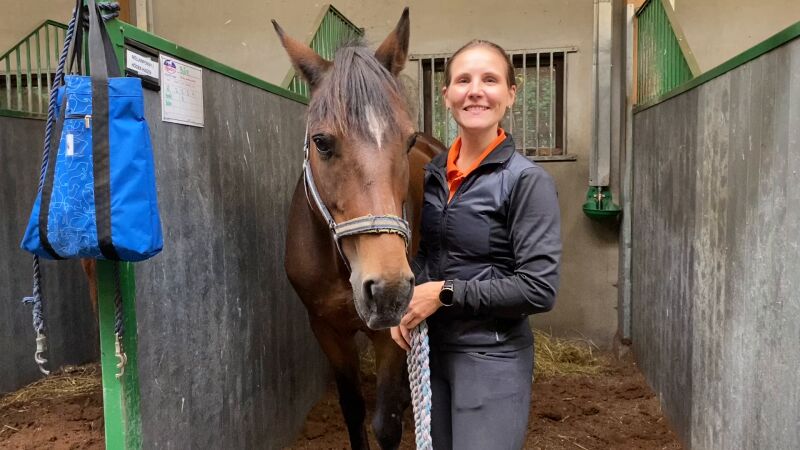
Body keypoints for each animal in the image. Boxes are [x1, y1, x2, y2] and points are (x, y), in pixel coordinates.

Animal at [273, 9, 445, 449]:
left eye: (408, 141)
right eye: (321, 141)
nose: (387, 290)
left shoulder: (389, 332)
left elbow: (385, 423)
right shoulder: (326, 328)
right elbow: (353, 409)